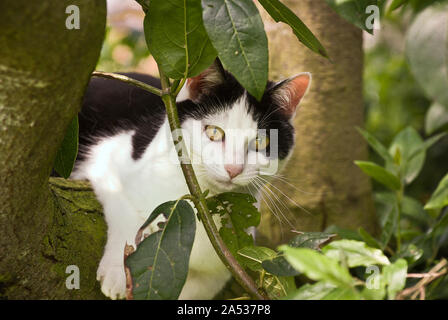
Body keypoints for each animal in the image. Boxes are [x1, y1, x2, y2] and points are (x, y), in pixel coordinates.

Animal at [72, 60, 312, 300]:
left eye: (261, 142)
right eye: (214, 132)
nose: (233, 168)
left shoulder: (223, 265)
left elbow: (199, 286)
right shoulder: (107, 158)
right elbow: (125, 212)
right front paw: (120, 273)